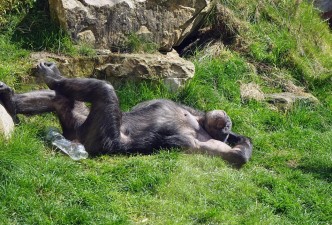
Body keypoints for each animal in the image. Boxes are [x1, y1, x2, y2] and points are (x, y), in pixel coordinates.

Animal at [0, 62, 252, 168]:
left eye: (227, 126)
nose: (227, 121)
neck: (199, 124)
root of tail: (73, 138)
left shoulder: (208, 145)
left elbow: (234, 156)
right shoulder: (192, 109)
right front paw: (238, 137)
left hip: (98, 135)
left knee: (103, 90)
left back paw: (52, 77)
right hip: (77, 118)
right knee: (60, 98)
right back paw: (10, 103)